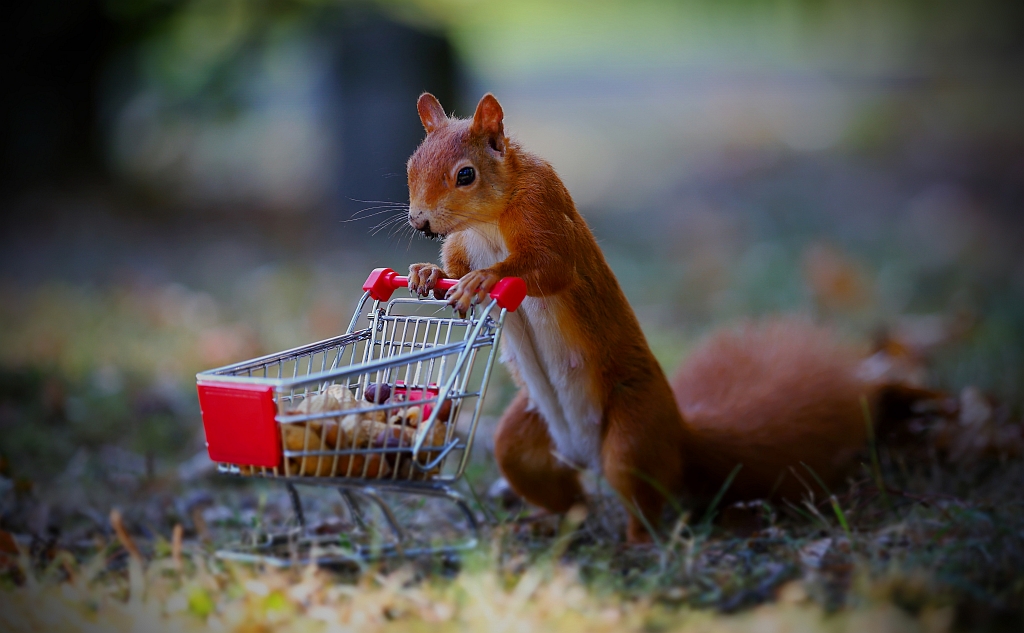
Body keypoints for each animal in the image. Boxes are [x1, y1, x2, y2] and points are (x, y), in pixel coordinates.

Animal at [405, 91, 929, 540]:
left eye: (466, 175)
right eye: (410, 165)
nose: (420, 222)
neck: (486, 222)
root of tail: (679, 432)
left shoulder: (545, 211)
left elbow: (550, 267)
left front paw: (486, 280)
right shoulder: (464, 243)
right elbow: (452, 265)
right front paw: (427, 273)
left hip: (633, 432)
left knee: (642, 499)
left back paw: (637, 541)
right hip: (522, 440)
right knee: (566, 496)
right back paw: (543, 523)